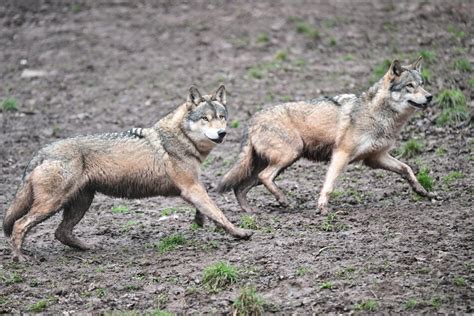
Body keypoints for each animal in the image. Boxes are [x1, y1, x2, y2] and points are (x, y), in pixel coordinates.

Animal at [3, 84, 254, 262]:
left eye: (221, 117)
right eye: (205, 118)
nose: (222, 133)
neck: (181, 138)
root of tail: (41, 152)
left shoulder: (192, 188)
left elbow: (205, 210)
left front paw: (200, 221)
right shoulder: (191, 187)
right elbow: (219, 212)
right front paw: (239, 232)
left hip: (80, 203)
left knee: (60, 232)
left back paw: (88, 248)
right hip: (53, 204)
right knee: (20, 224)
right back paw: (19, 257)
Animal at [218, 57, 434, 214]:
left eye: (422, 84)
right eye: (410, 86)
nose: (430, 96)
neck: (377, 113)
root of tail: (253, 119)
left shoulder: (376, 158)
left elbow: (407, 169)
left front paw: (423, 191)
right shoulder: (341, 154)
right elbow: (329, 184)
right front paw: (322, 208)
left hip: (273, 164)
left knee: (241, 187)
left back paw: (251, 211)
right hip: (289, 156)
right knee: (263, 178)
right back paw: (285, 201)